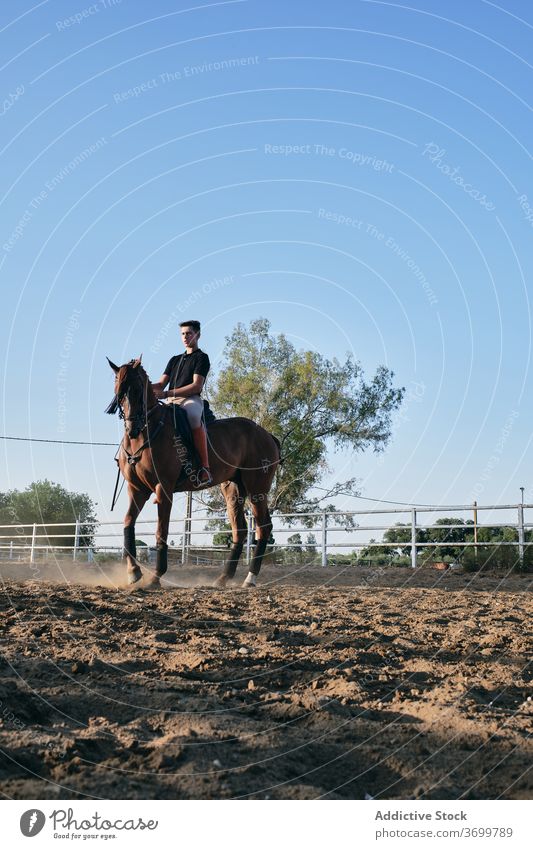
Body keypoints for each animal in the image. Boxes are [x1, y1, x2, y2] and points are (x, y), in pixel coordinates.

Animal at [104, 354, 278, 588]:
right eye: (119, 390)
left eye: (139, 388)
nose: (132, 428)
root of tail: (267, 435)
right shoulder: (137, 489)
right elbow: (128, 523)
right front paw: (133, 572)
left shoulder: (163, 489)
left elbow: (161, 531)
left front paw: (156, 577)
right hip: (232, 489)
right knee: (240, 530)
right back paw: (223, 578)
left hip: (257, 489)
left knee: (263, 527)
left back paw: (250, 578)